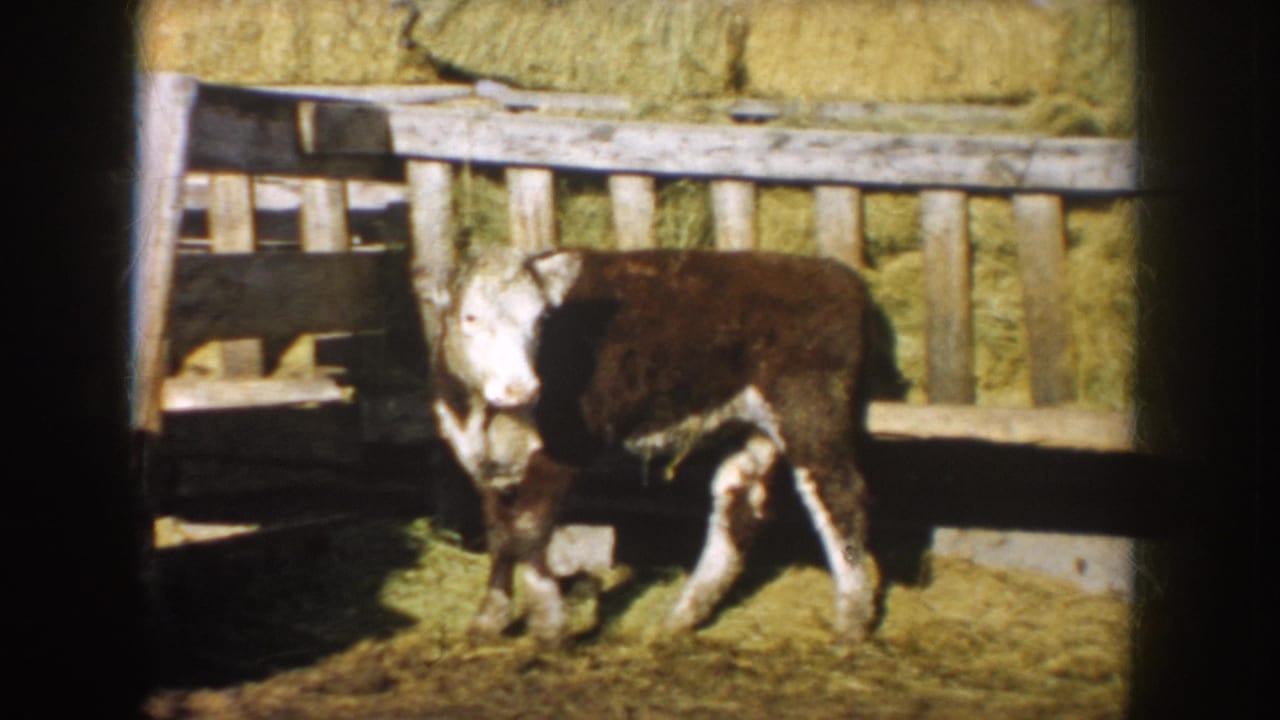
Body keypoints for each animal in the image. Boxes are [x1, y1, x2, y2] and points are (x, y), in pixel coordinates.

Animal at [427, 245, 900, 646]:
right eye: (470, 317)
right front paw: (489, 620)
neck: (485, 414)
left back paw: (851, 622)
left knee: (838, 496)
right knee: (738, 500)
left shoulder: (565, 447)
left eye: (541, 320)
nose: (521, 387)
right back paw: (682, 616)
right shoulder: (481, 460)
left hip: (811, 407)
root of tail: (841, 277)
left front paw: (548, 625)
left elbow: (529, 528)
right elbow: (500, 533)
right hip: (759, 424)